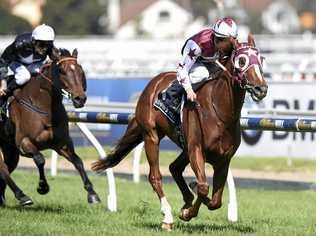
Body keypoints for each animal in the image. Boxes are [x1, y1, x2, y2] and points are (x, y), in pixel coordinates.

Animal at [0, 48, 100, 206]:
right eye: (61, 71)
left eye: (81, 70)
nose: (80, 98)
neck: (43, 106)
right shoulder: (24, 142)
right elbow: (40, 159)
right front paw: (42, 187)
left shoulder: (61, 144)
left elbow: (78, 161)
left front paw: (92, 193)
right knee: (3, 168)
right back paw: (22, 195)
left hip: (9, 147)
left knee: (8, 167)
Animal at [92, 34, 268, 230]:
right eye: (241, 60)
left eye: (261, 59)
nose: (261, 88)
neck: (220, 112)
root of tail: (154, 81)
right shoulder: (196, 149)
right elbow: (203, 187)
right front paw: (187, 211)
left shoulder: (223, 159)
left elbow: (216, 201)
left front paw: (190, 201)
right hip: (151, 135)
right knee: (155, 176)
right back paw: (167, 216)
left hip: (183, 147)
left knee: (174, 167)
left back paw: (187, 198)